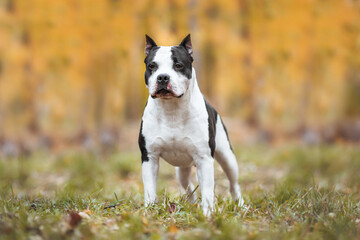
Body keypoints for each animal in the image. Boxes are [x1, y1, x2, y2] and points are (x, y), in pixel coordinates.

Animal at [139, 33, 245, 214]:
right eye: (152, 66)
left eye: (178, 65)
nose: (162, 77)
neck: (172, 109)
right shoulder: (149, 158)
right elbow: (150, 190)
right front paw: (150, 211)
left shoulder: (204, 159)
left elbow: (208, 191)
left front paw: (208, 214)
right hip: (181, 170)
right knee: (188, 187)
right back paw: (190, 205)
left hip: (227, 158)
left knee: (233, 184)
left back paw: (240, 204)